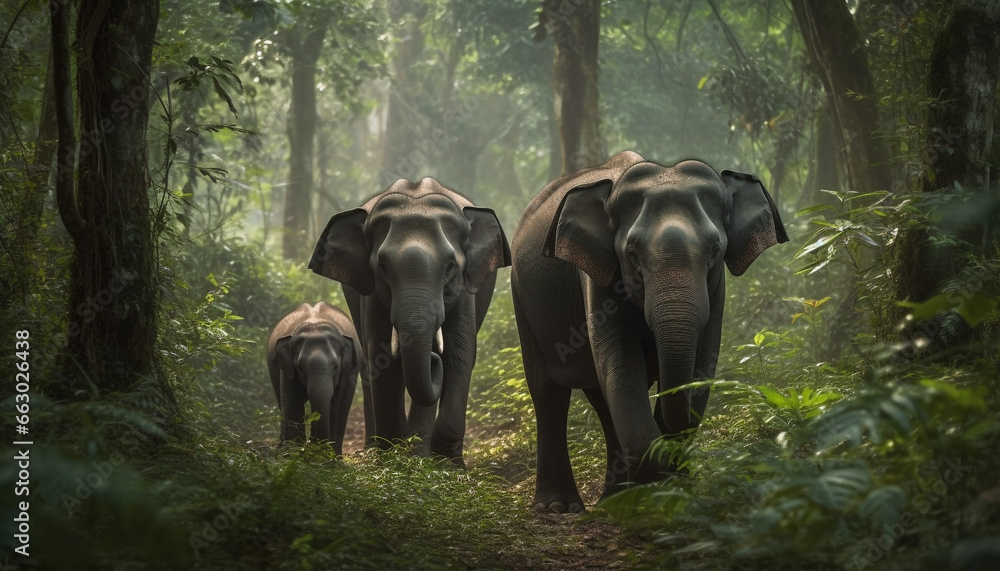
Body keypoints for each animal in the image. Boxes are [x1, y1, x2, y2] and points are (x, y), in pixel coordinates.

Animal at [266, 302, 360, 454]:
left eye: (336, 366)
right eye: (300, 367)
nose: (312, 443)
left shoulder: (344, 374)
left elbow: (335, 405)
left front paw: (324, 454)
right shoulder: (287, 370)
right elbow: (292, 404)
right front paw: (294, 454)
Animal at [308, 179, 512, 470]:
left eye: (451, 266)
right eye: (382, 267)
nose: (432, 358)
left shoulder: (465, 290)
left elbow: (460, 353)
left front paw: (448, 465)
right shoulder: (371, 293)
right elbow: (381, 356)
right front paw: (394, 459)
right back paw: (378, 449)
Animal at [512, 152, 784, 512]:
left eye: (715, 249)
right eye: (632, 253)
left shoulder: (717, 292)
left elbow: (703, 363)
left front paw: (674, 487)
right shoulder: (598, 279)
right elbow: (623, 365)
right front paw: (656, 483)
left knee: (601, 400)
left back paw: (612, 499)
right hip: (521, 299)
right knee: (548, 393)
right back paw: (558, 507)